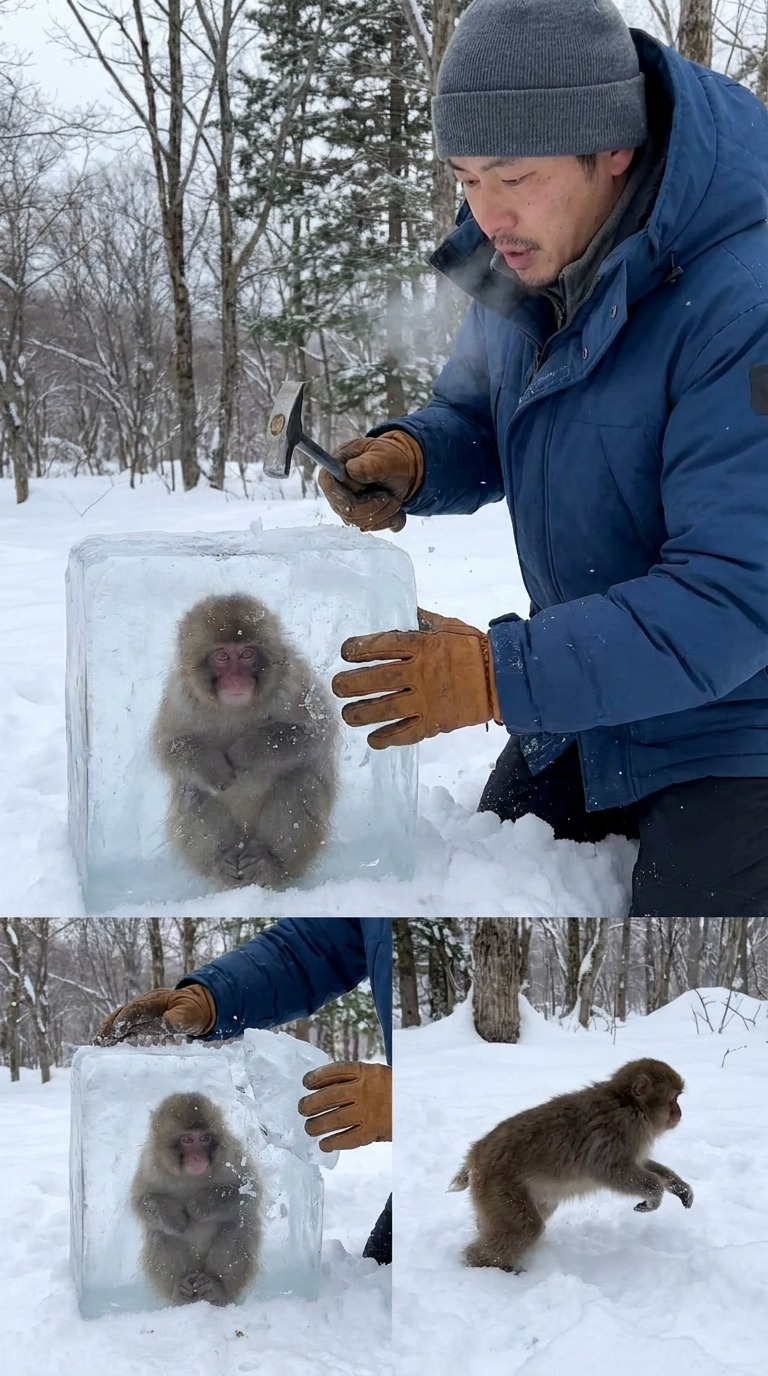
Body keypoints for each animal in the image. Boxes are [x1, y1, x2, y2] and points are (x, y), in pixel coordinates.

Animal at [130, 1092, 262, 1307]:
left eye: (205, 1138)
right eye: (188, 1140)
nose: (198, 1158)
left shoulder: (232, 1155)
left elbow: (249, 1193)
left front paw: (199, 1206)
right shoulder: (149, 1164)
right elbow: (142, 1202)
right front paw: (176, 1217)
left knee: (238, 1221)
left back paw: (216, 1289)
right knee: (160, 1232)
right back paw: (179, 1291)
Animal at [153, 593, 338, 890]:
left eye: (247, 654)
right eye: (222, 656)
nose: (237, 680)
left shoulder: (294, 682)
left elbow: (316, 732)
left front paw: (246, 753)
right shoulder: (179, 697)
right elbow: (169, 745)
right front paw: (213, 766)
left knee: (300, 781)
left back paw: (268, 864)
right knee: (192, 792)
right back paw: (222, 863)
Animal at [450, 1058, 693, 1272]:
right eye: (673, 1099)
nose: (679, 1113)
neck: (631, 1105)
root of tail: (475, 1154)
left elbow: (641, 1164)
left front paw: (680, 1187)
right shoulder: (620, 1130)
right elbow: (611, 1171)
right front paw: (655, 1195)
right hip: (499, 1186)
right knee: (526, 1229)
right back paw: (481, 1262)